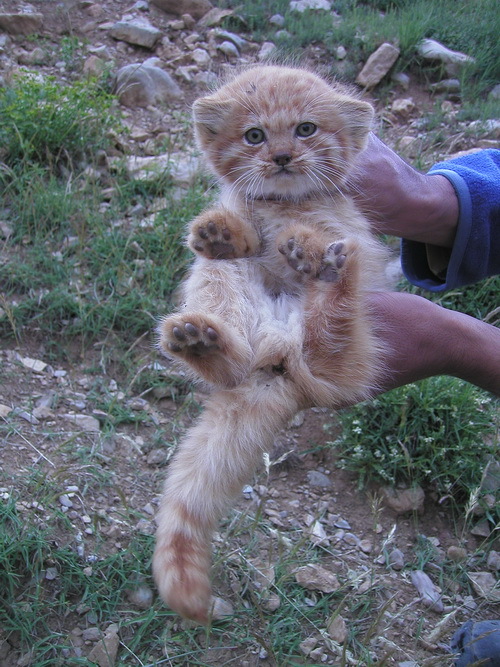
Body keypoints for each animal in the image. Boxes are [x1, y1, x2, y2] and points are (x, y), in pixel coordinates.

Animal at [151, 65, 386, 624]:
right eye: (254, 135)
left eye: (306, 129)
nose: (280, 157)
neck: (284, 205)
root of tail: (276, 365)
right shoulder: (239, 218)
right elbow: (247, 235)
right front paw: (225, 231)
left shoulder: (352, 234)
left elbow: (309, 239)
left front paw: (302, 247)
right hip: (222, 289)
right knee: (232, 346)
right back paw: (203, 342)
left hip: (351, 351)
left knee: (333, 335)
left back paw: (327, 274)